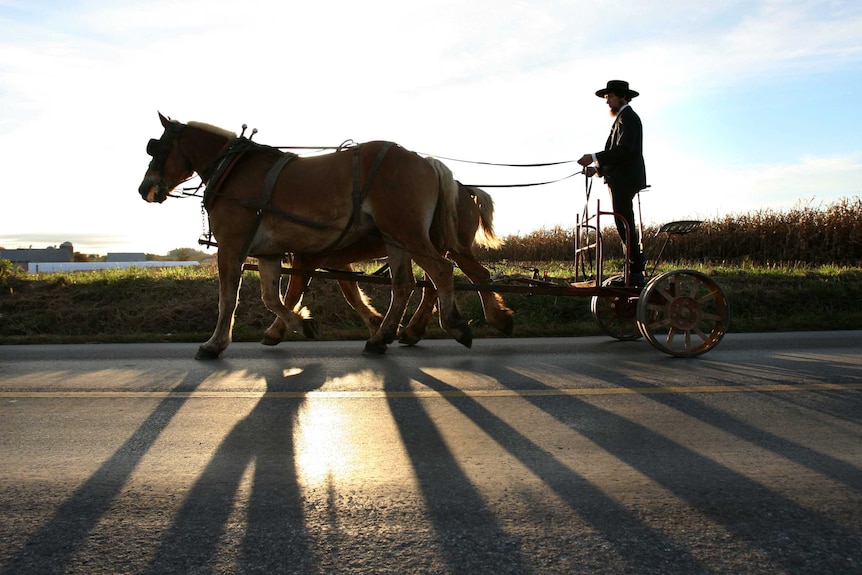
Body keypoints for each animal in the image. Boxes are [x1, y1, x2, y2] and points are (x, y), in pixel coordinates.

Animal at [138, 112, 472, 356]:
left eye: (157, 147)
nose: (145, 188)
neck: (233, 170)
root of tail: (424, 160)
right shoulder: (268, 252)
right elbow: (271, 297)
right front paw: (302, 324)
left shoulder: (231, 246)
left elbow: (228, 298)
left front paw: (213, 345)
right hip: (395, 238)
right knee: (403, 285)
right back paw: (380, 338)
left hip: (407, 232)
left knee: (441, 270)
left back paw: (454, 325)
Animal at [264, 182, 516, 346]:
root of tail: (464, 189)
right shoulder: (334, 261)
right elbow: (351, 293)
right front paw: (375, 322)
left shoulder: (308, 258)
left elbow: (291, 295)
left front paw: (277, 331)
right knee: (437, 284)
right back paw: (413, 332)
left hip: (445, 246)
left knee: (470, 276)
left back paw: (496, 318)